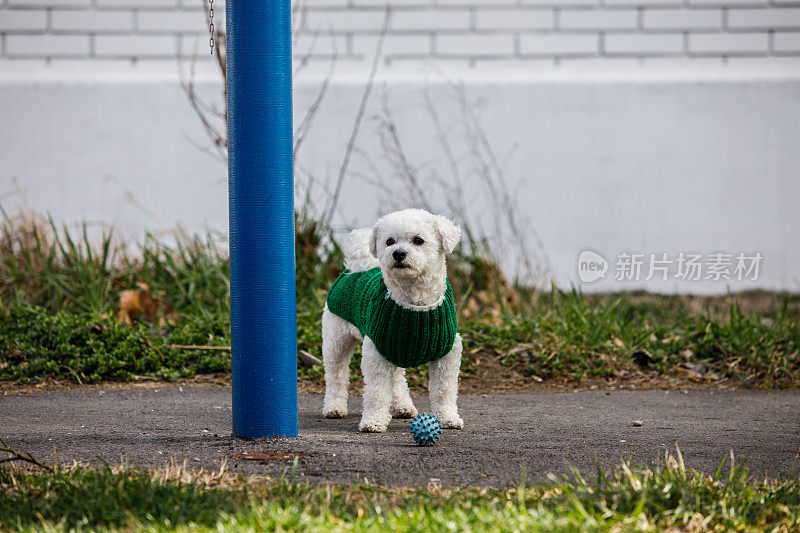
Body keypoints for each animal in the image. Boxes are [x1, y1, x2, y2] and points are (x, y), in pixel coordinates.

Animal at [322, 208, 466, 432]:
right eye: (389, 241)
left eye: (418, 240)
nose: (398, 253)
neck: (414, 305)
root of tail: (354, 267)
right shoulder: (375, 353)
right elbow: (377, 392)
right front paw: (373, 421)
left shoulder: (447, 355)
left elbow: (444, 391)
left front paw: (449, 418)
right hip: (336, 341)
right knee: (336, 375)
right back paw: (334, 408)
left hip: (394, 350)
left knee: (397, 380)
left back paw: (402, 407)